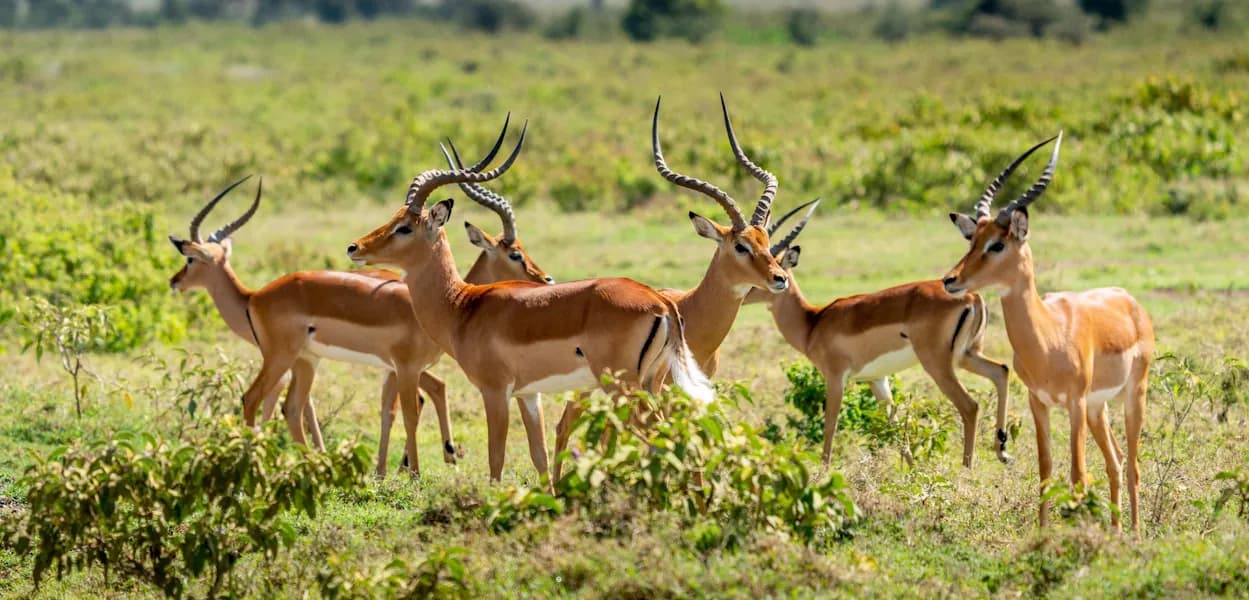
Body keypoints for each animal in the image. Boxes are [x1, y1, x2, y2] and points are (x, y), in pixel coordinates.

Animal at [170, 166, 553, 477]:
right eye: (514, 254)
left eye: (404, 227)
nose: (546, 279)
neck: (455, 303)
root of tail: (256, 296)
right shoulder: (404, 367)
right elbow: (408, 412)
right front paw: (411, 475)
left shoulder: (397, 368)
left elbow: (394, 410)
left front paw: (391, 471)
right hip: (284, 357)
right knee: (257, 399)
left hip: (302, 360)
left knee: (288, 406)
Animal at [346, 116, 720, 483]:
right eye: (394, 217)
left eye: (405, 228)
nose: (354, 247)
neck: (463, 307)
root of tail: (660, 302)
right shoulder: (529, 394)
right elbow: (539, 456)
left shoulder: (496, 391)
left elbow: (495, 460)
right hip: (651, 382)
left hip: (623, 387)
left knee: (657, 436)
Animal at [744, 201, 1012, 468]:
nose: (741, 297)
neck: (813, 322)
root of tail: (972, 297)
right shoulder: (877, 379)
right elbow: (894, 426)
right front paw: (912, 471)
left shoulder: (836, 377)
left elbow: (830, 425)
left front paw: (824, 471)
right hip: (967, 354)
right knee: (1001, 371)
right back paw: (1002, 452)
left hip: (938, 364)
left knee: (970, 406)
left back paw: (968, 467)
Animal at [942, 132, 1153, 533]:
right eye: (972, 241)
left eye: (997, 243)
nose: (950, 279)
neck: (1049, 337)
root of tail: (1129, 301)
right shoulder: (1038, 402)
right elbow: (1045, 469)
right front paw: (1042, 535)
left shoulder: (1073, 403)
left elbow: (1077, 474)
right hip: (1099, 407)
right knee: (1116, 460)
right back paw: (1117, 532)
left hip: (1132, 396)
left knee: (1133, 464)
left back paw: (1135, 535)